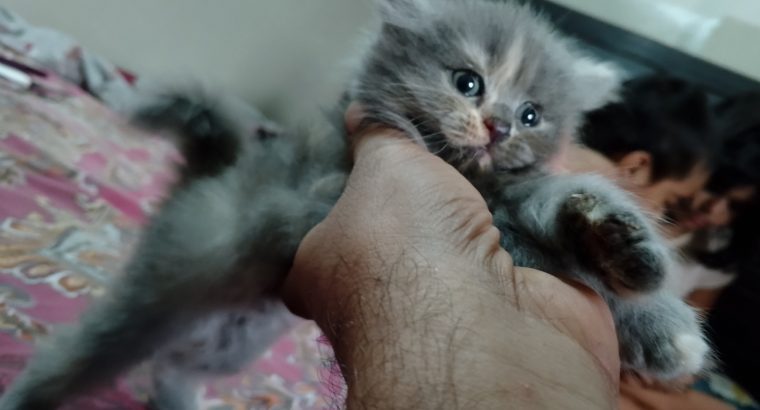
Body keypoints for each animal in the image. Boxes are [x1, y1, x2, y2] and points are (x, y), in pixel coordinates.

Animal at [1, 0, 708, 408]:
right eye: (467, 82)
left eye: (533, 114)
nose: (500, 126)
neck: (469, 175)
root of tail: (215, 172)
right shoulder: (325, 191)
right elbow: (533, 246)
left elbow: (564, 214)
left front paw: (631, 266)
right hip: (163, 291)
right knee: (87, 352)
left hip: (235, 336)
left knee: (180, 364)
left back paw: (180, 400)